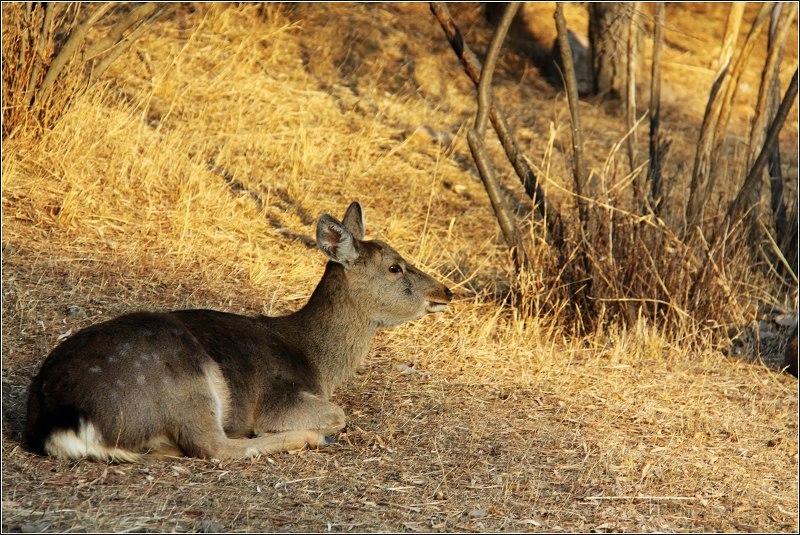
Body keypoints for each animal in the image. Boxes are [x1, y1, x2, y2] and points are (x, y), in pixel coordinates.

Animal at [25, 203, 454, 462]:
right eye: (395, 267)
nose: (446, 291)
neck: (319, 364)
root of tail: (59, 419)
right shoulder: (281, 398)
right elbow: (338, 414)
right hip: (186, 381)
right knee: (212, 446)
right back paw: (307, 438)